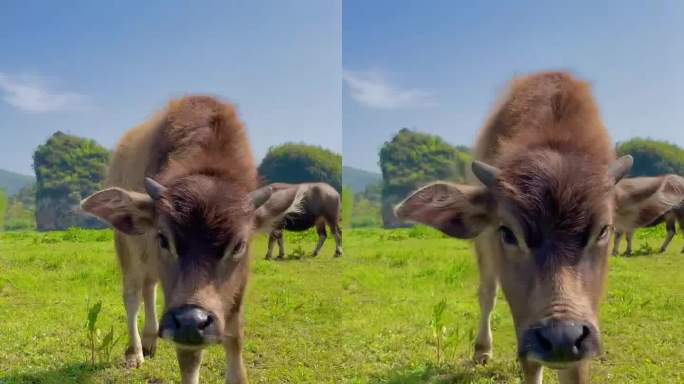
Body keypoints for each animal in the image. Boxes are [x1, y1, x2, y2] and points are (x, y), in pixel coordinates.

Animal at [81, 97, 300, 384]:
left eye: (239, 245)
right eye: (164, 239)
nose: (190, 320)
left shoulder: (237, 288)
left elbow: (235, 336)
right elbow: (189, 359)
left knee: (149, 288)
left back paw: (150, 339)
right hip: (128, 250)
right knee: (133, 296)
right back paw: (135, 351)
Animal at [396, 73, 636, 384]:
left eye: (604, 230)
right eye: (508, 233)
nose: (561, 337)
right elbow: (529, 362)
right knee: (487, 293)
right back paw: (482, 349)